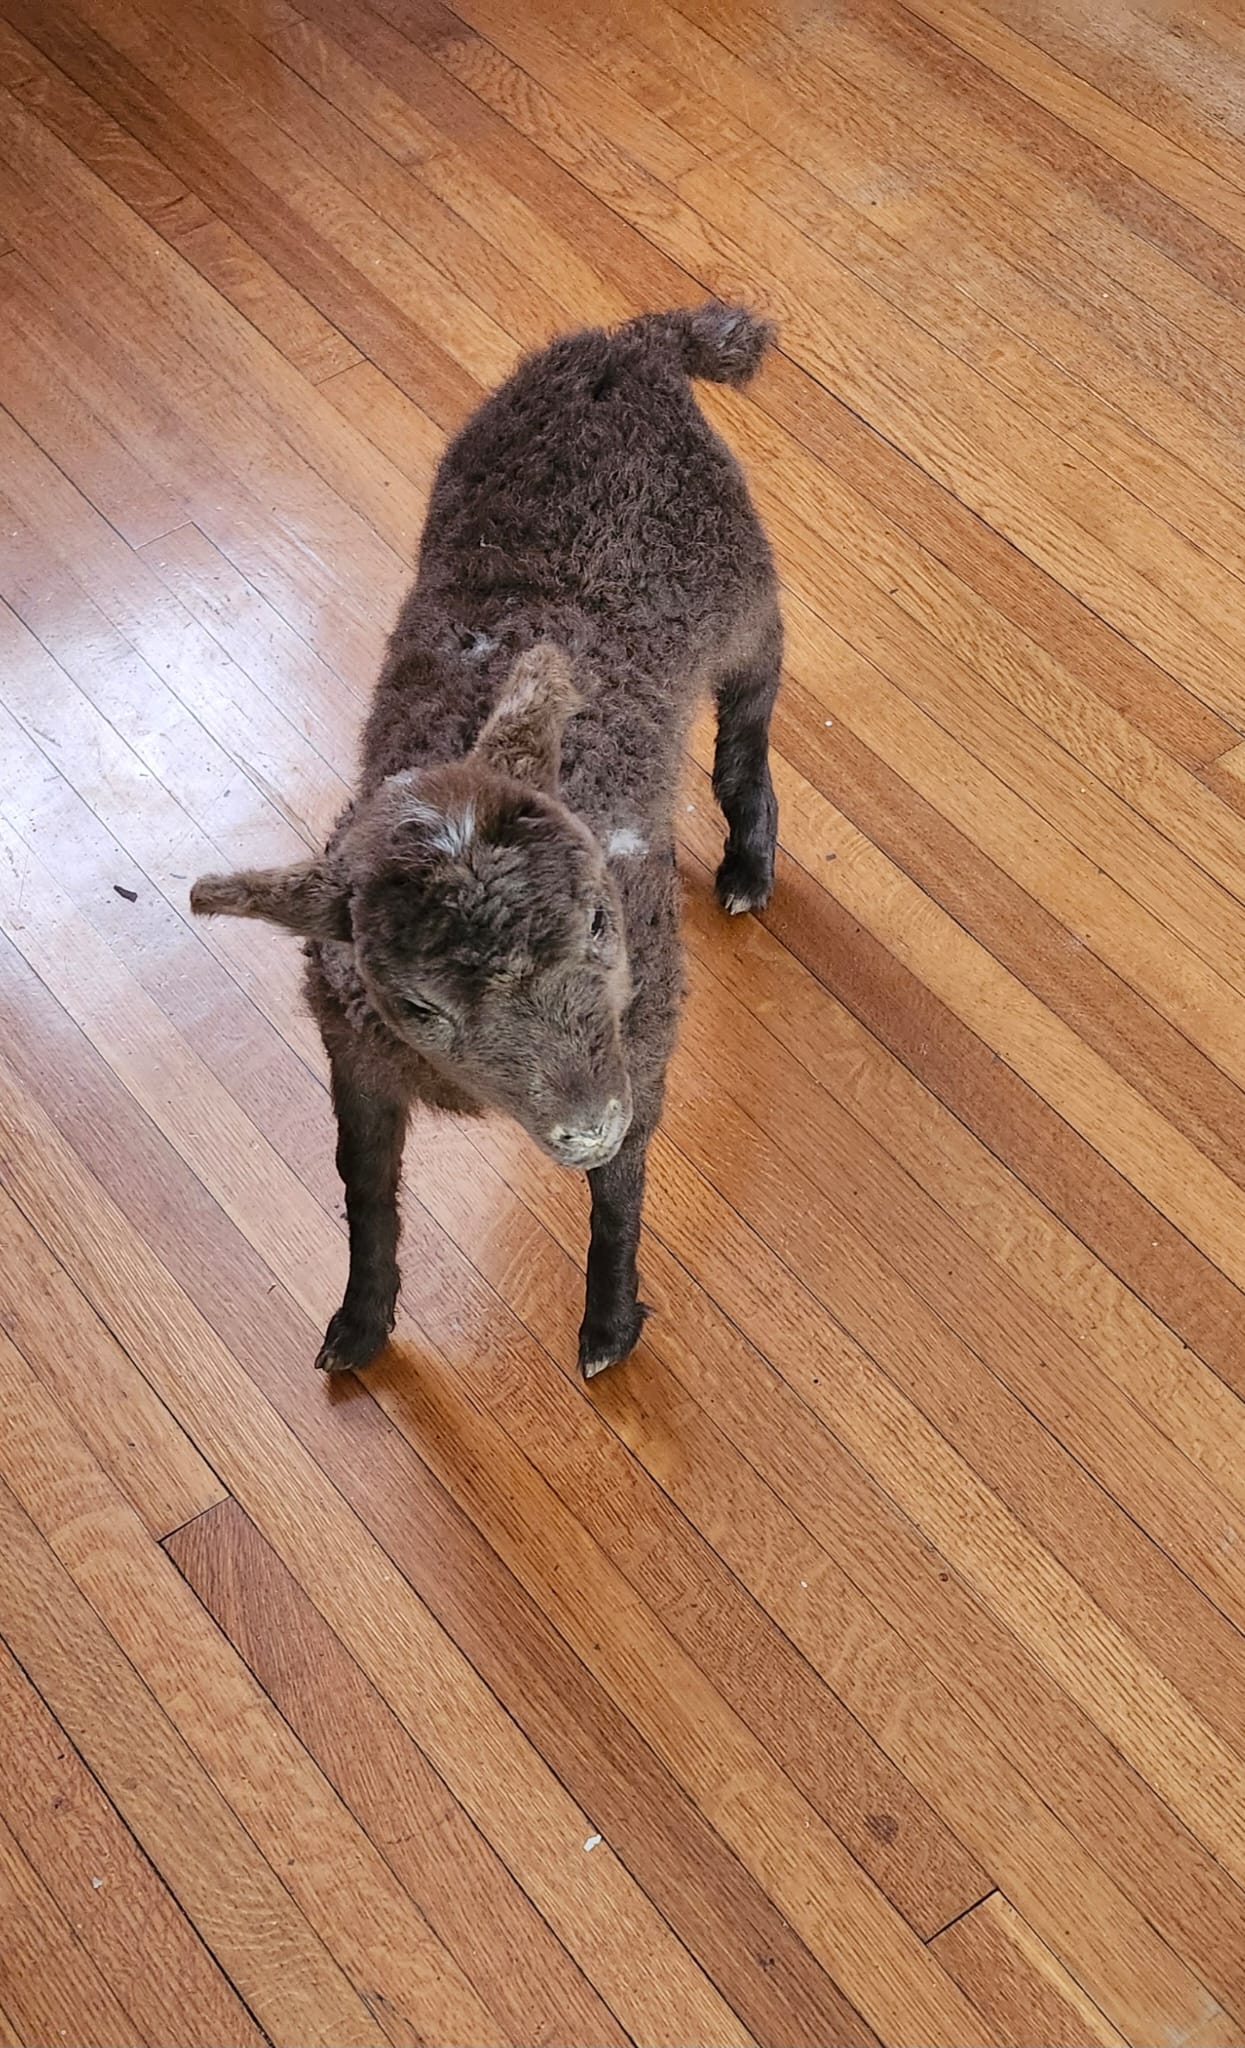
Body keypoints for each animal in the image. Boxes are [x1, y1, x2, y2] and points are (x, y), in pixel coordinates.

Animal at [191, 302, 782, 1379]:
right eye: (420, 1003)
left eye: (601, 923)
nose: (586, 1124)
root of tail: (630, 342)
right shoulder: (357, 1050)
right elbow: (364, 1190)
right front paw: (358, 1324)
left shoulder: (643, 1042)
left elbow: (622, 1196)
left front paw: (608, 1325)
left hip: (744, 589)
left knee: (751, 715)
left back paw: (748, 862)